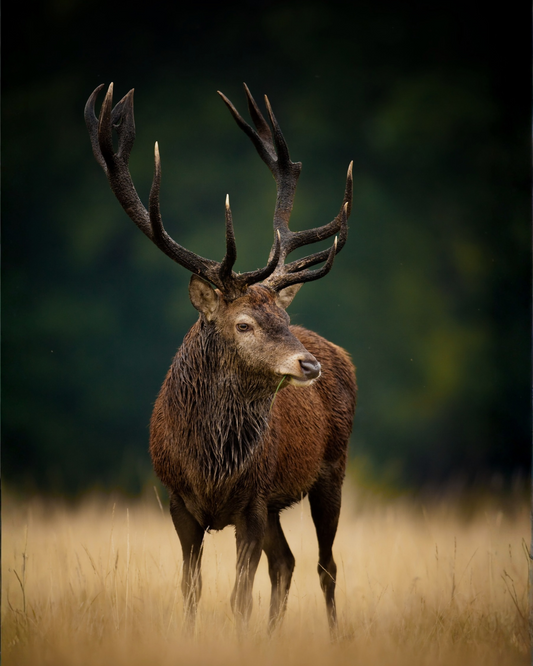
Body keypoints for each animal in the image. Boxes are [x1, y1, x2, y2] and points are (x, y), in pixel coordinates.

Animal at [84, 82, 357, 637]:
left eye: (283, 315)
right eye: (244, 324)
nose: (308, 366)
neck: (210, 467)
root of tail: (341, 355)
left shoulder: (252, 502)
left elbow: (239, 598)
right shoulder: (179, 504)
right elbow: (191, 589)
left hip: (331, 470)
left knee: (325, 564)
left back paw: (333, 636)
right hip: (278, 504)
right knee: (287, 561)